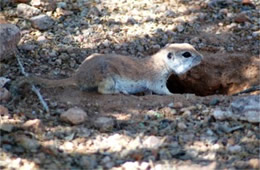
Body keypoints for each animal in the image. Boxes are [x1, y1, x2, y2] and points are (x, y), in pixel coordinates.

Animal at [15, 43, 203, 95]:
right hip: (107, 78)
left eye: (191, 46)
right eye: (186, 54)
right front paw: (177, 95)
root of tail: (77, 77)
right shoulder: (156, 79)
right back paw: (120, 92)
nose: (202, 57)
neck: (160, 62)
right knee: (101, 90)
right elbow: (162, 90)